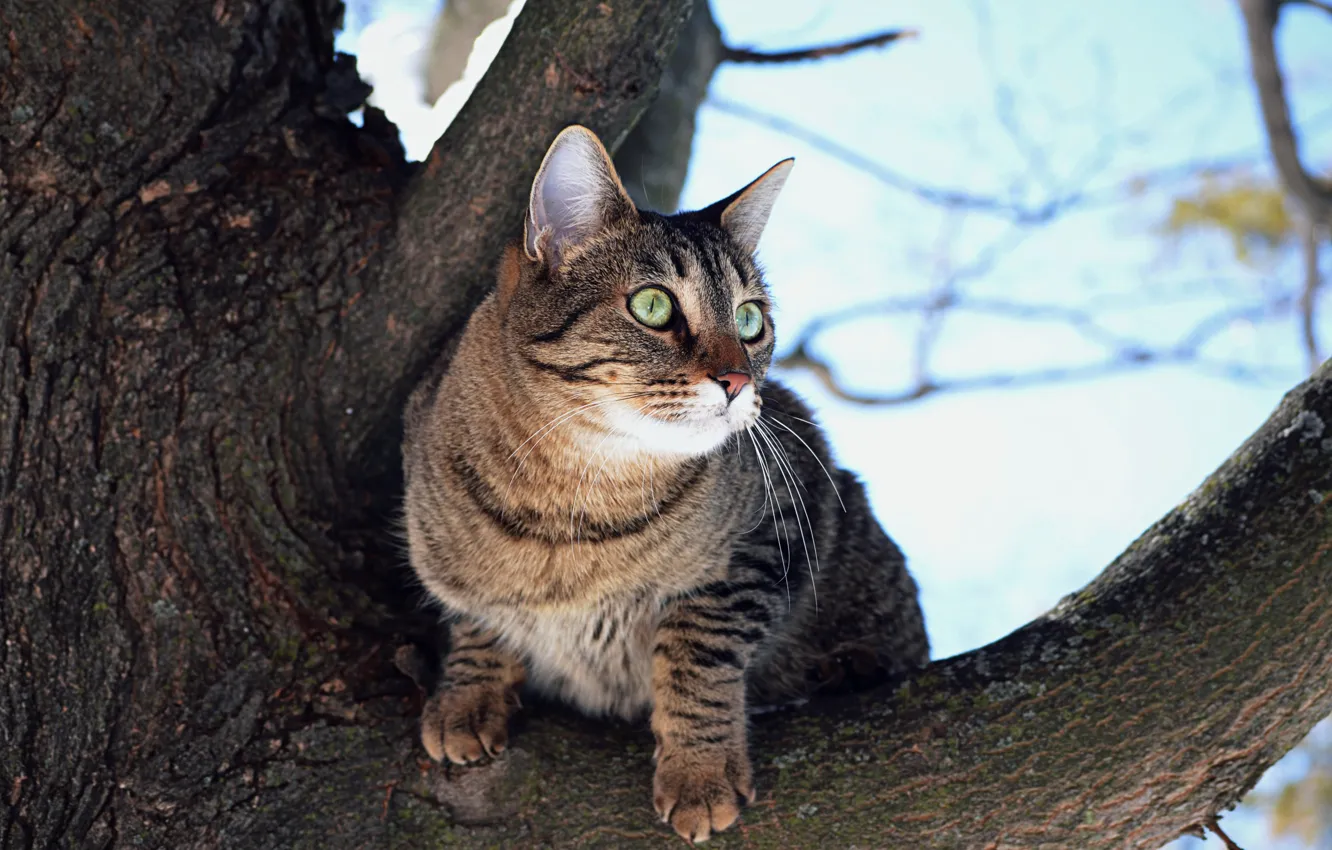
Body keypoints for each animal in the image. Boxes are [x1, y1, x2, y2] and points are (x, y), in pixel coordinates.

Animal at [399, 126, 932, 847]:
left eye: (750, 320)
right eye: (652, 306)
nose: (738, 382)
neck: (567, 505)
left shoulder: (771, 535)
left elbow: (695, 652)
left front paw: (699, 772)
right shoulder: (442, 553)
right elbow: (476, 619)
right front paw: (466, 694)